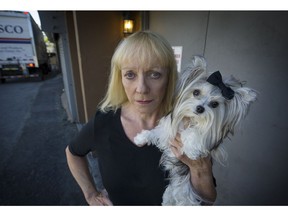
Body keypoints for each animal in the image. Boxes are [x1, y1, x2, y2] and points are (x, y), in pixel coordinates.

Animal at [134, 55, 258, 206]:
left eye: (215, 104)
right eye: (196, 92)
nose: (200, 108)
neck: (191, 120)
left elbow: (195, 133)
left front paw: (191, 149)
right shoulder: (168, 131)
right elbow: (155, 132)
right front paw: (141, 138)